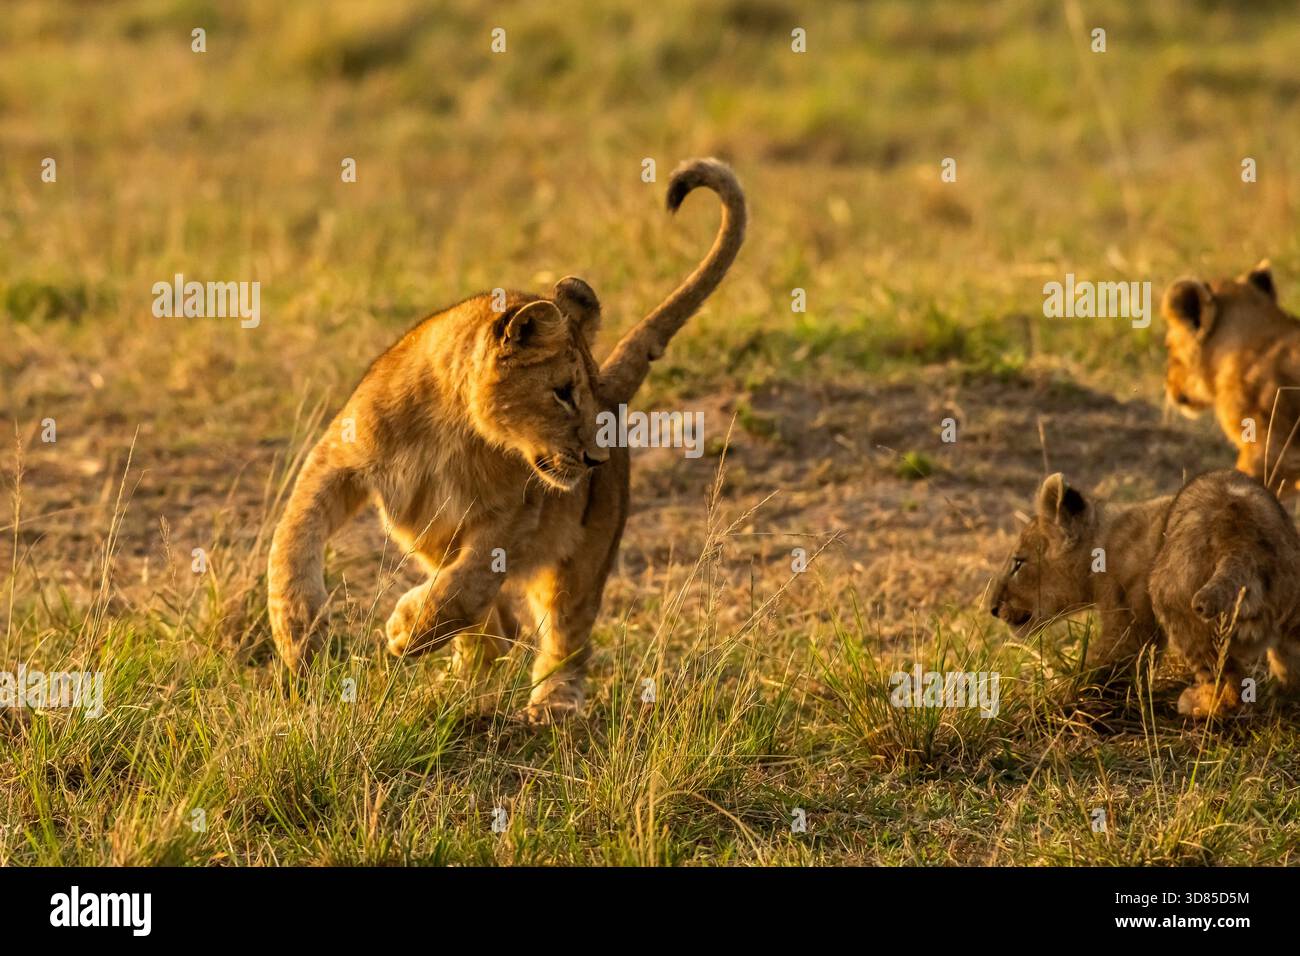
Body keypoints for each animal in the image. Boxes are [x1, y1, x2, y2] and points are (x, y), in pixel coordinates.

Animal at [266, 158, 746, 722]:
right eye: (563, 393)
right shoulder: (339, 459)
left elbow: (463, 589)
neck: (451, 427)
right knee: (498, 626)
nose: (595, 457)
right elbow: (293, 537)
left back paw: (549, 705)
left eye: (581, 392)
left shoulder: (515, 516)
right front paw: (299, 634)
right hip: (430, 539)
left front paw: (405, 629)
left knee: (562, 629)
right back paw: (453, 690)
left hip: (586, 548)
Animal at [988, 469, 1300, 718]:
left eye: (1018, 563)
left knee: (1230, 687)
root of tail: (1242, 541)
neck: (1102, 539)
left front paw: (1054, 701)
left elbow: (1100, 668)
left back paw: (1196, 704)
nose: (992, 608)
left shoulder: (1129, 623)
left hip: (1169, 596)